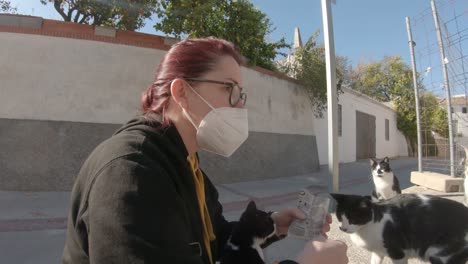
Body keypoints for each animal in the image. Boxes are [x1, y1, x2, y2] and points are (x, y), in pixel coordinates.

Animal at [330, 192, 468, 264]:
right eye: (339, 216)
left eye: (352, 219)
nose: (342, 228)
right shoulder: (377, 252)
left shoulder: (398, 254)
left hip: (439, 254)